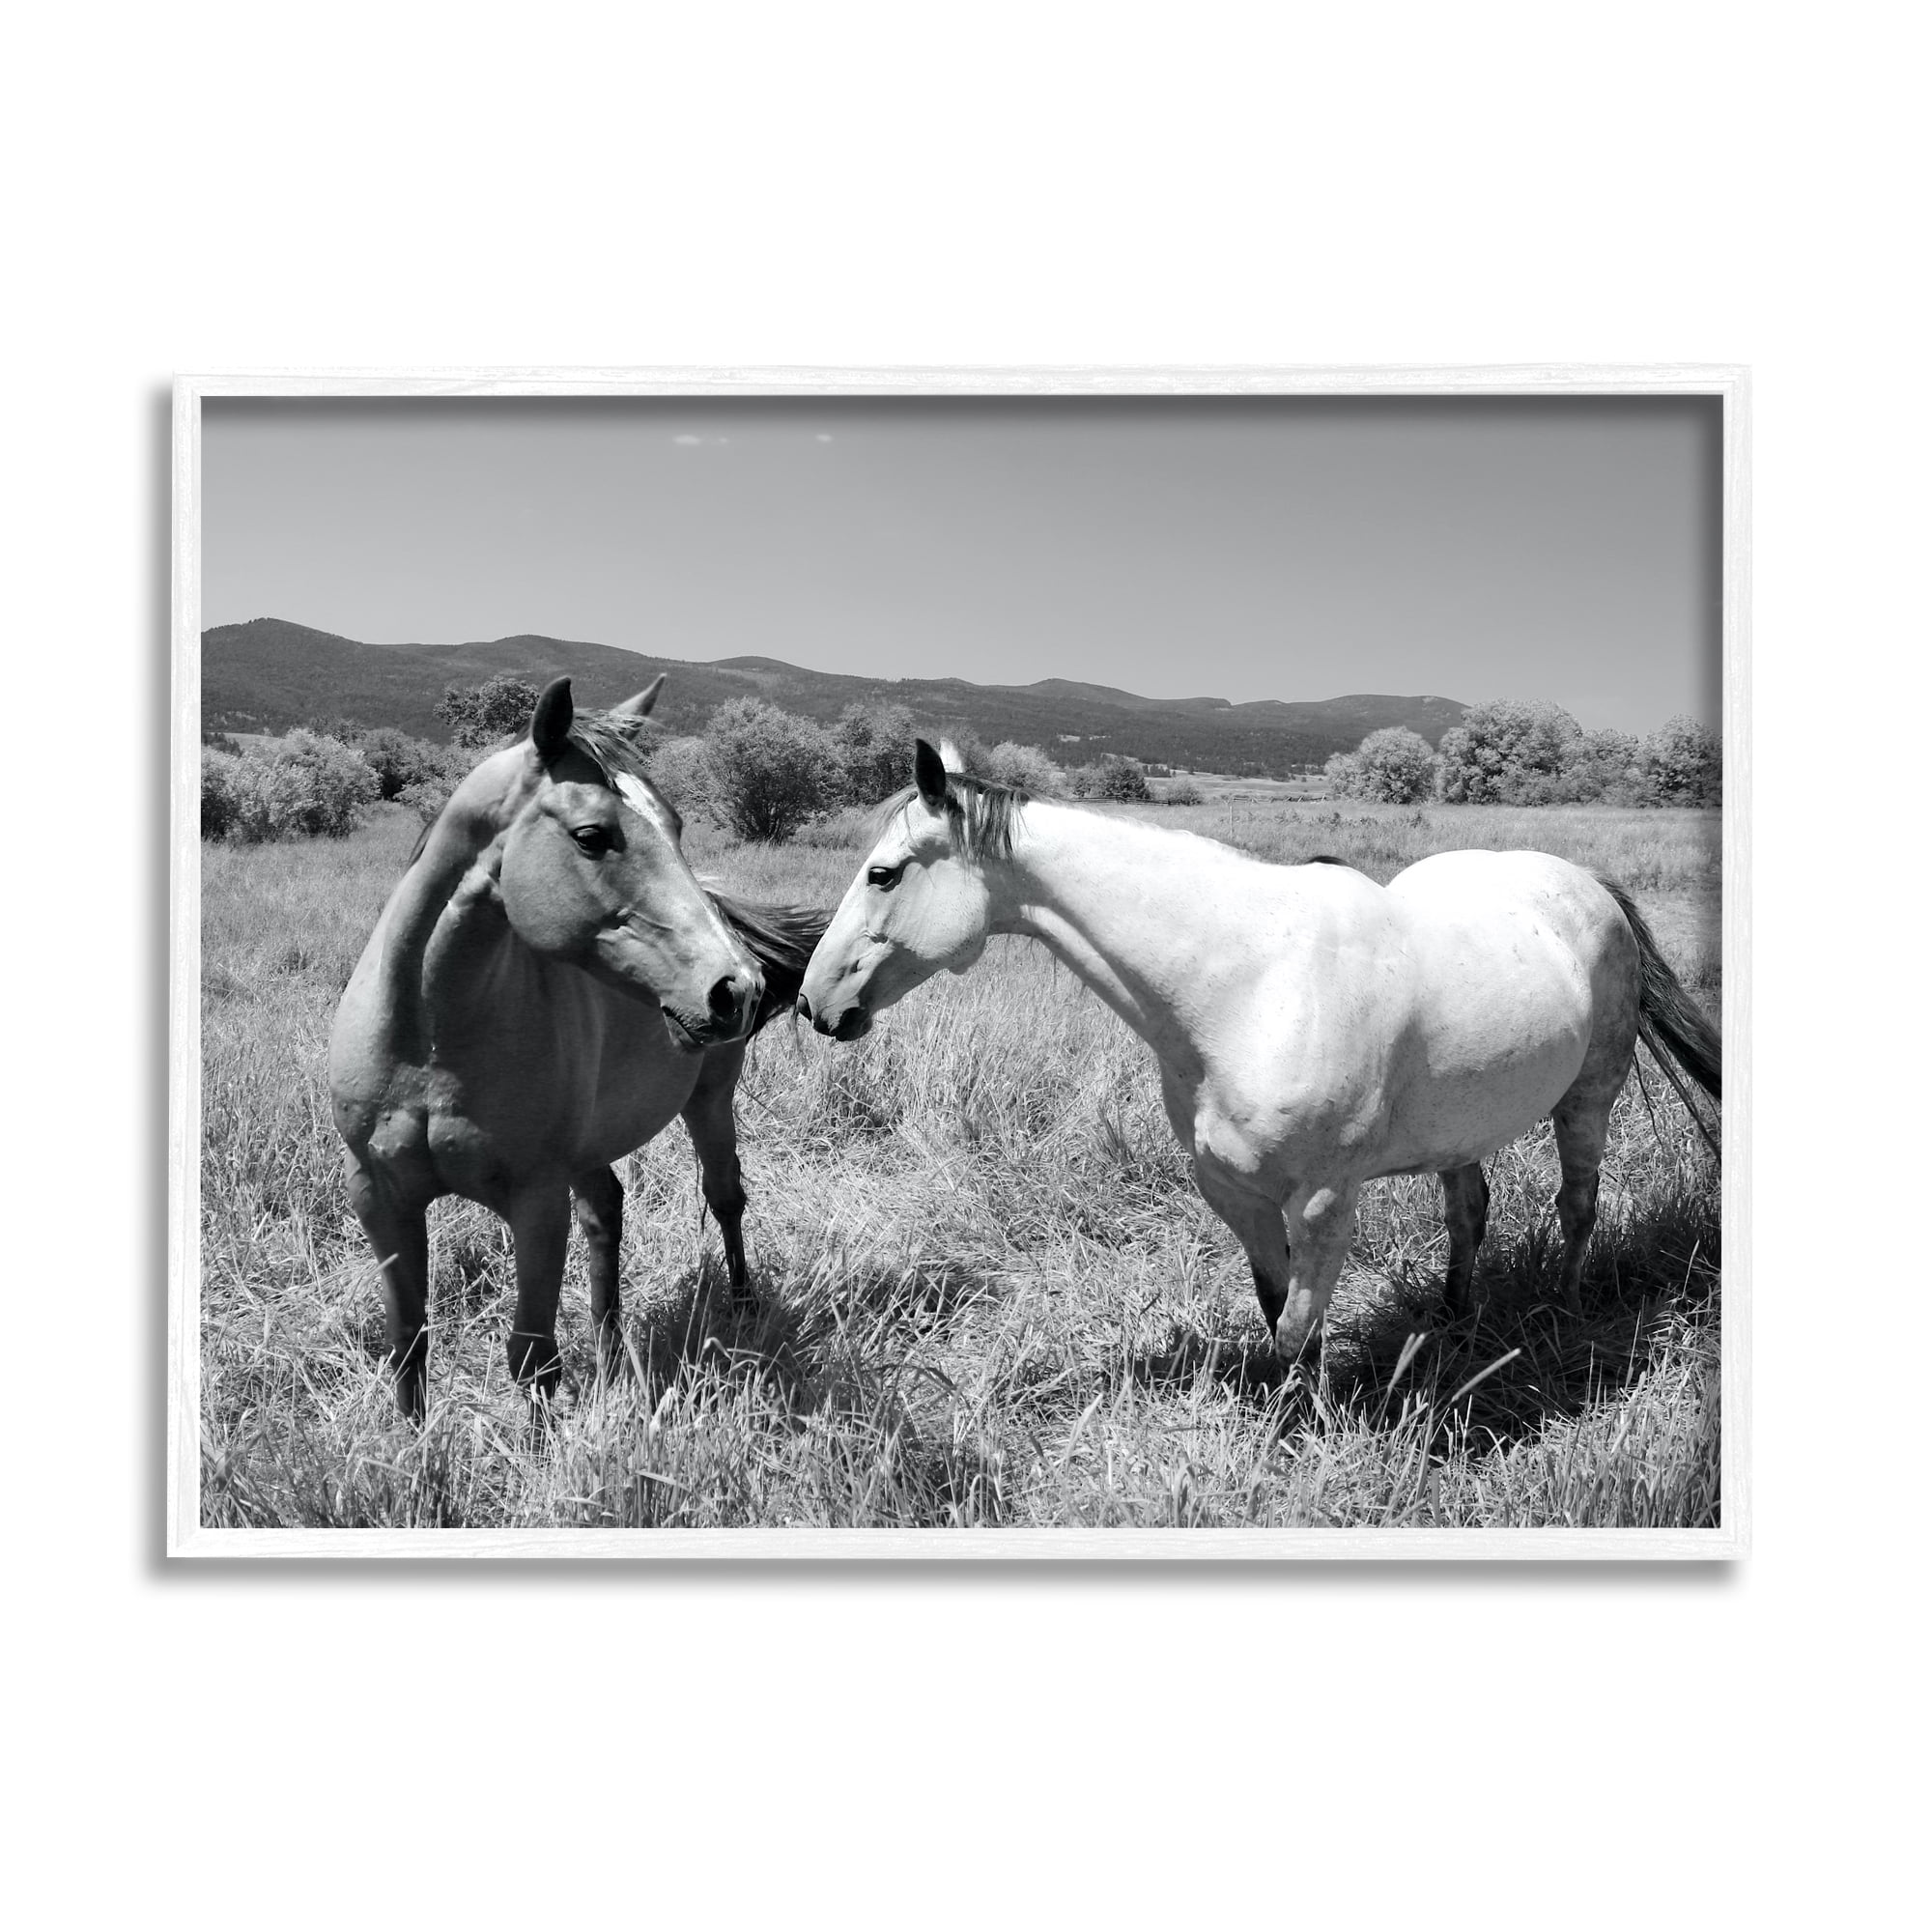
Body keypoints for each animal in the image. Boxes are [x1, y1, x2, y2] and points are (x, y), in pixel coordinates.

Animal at [329, 675, 828, 1420]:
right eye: (592, 836)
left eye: (677, 825)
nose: (736, 987)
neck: (428, 1046)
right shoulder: (378, 1195)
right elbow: (408, 1343)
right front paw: (412, 1448)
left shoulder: (536, 1201)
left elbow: (532, 1357)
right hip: (589, 1147)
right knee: (607, 1213)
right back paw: (614, 1353)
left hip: (709, 1101)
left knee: (725, 1195)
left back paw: (742, 1307)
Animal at [797, 741, 1719, 1362]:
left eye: (883, 873)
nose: (813, 1003)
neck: (1248, 984)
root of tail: (1589, 886)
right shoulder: (1234, 1193)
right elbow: (1276, 1309)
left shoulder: (1323, 1203)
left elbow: (1297, 1333)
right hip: (1464, 1124)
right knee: (1470, 1211)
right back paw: (1455, 1318)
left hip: (1589, 1099)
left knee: (1577, 1207)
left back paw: (1564, 1310)